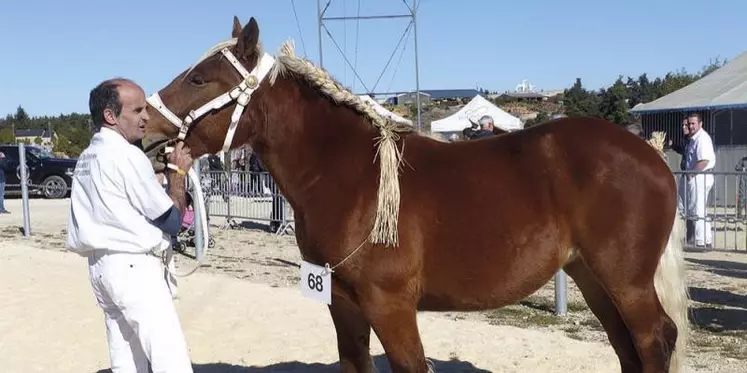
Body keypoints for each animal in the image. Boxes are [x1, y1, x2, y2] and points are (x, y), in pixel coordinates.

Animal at [139, 16, 688, 370]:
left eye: (199, 78)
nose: (143, 126)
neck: (351, 178)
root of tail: (650, 153)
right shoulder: (345, 308)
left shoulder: (391, 308)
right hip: (592, 277)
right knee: (626, 346)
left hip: (626, 282)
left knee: (653, 340)